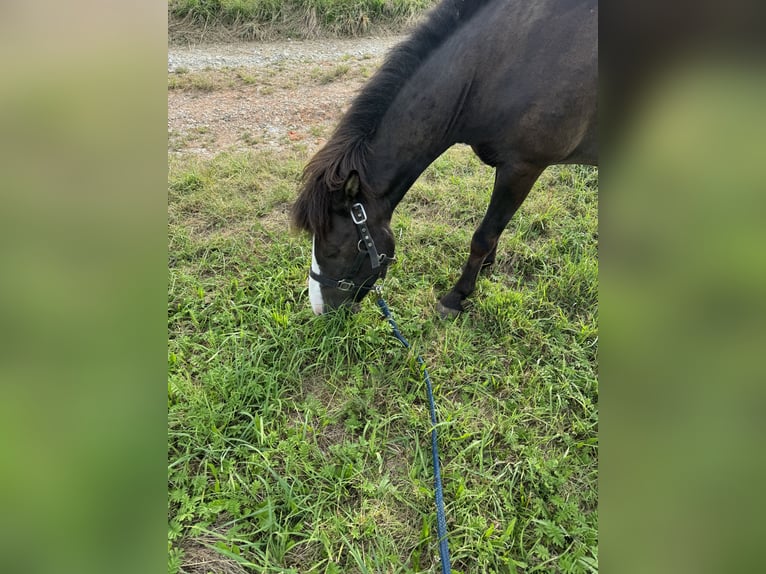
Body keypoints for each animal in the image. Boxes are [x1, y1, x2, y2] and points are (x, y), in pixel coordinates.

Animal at [294, 0, 600, 318]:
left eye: (333, 250)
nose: (318, 308)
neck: (494, 67)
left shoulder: (522, 168)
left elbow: (483, 235)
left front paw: (456, 296)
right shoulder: (509, 170)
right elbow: (496, 228)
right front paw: (486, 266)